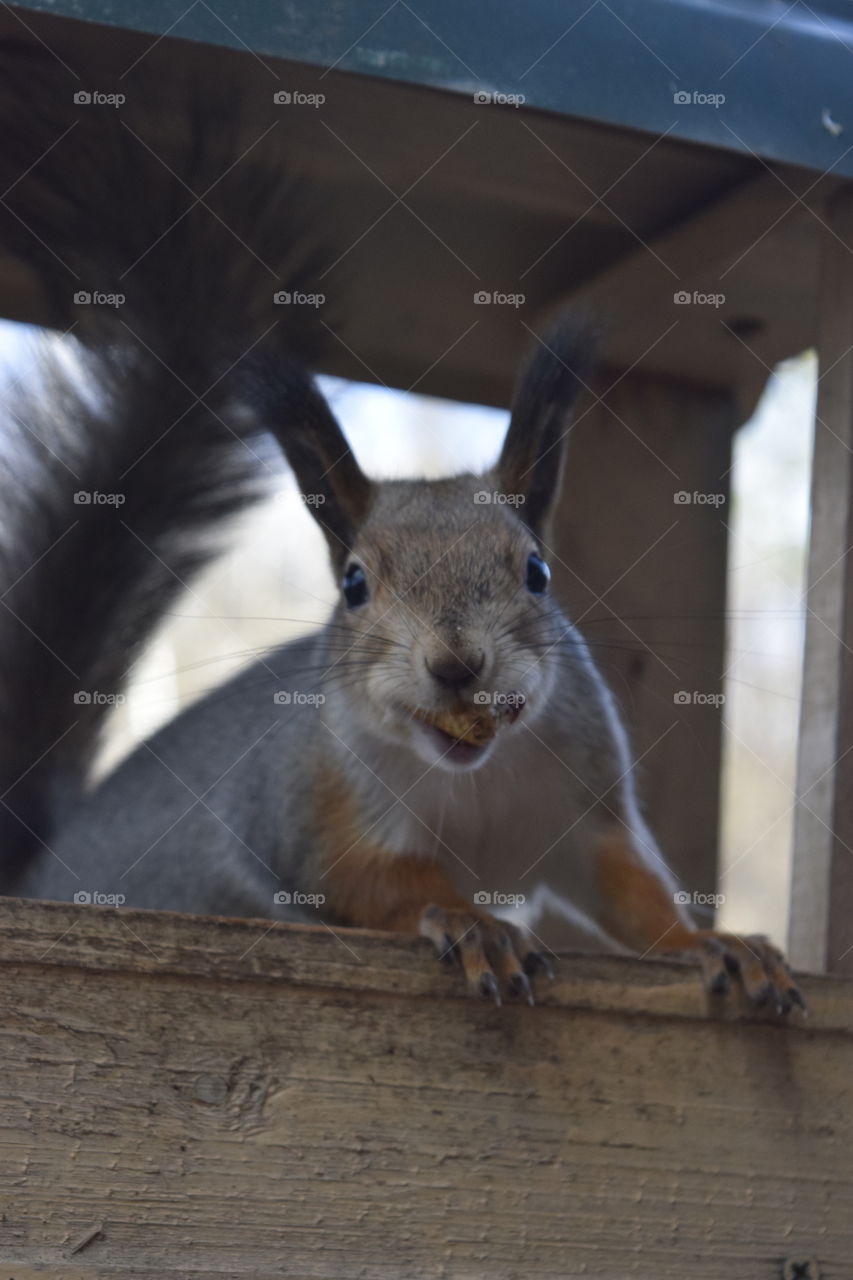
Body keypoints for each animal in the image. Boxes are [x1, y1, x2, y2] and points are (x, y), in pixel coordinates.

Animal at [0, 63, 804, 1013]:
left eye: (535, 571)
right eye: (353, 584)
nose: (457, 665)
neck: (473, 777)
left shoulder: (588, 806)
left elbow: (631, 893)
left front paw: (714, 942)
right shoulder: (323, 809)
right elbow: (380, 881)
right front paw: (471, 922)